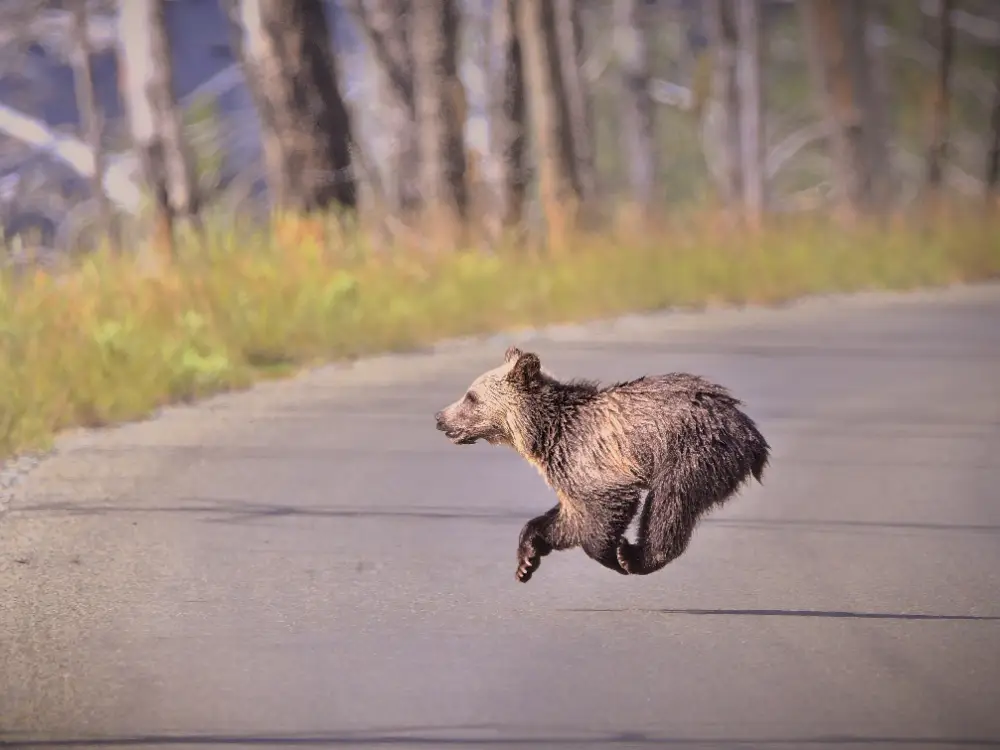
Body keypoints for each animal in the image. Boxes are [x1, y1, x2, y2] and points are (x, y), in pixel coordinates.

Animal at [434, 346, 771, 583]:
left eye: (471, 397)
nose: (440, 418)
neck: (543, 432)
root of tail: (750, 432)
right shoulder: (568, 469)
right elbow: (570, 518)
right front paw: (526, 560)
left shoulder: (590, 458)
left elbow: (605, 507)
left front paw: (614, 555)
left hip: (691, 452)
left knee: (669, 503)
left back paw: (636, 557)